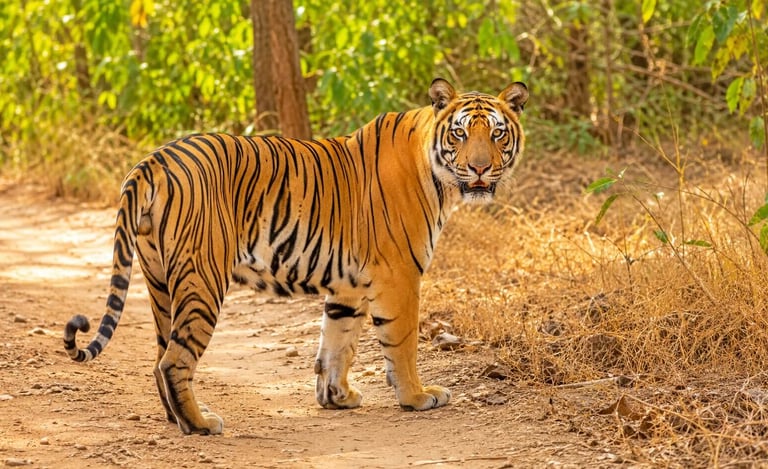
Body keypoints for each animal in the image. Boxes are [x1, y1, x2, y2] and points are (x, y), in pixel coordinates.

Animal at [63, 78, 528, 435]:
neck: (439, 179)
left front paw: (337, 397)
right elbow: (401, 343)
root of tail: (154, 160)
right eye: (461, 134)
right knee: (174, 360)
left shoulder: (349, 286)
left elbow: (337, 343)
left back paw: (177, 418)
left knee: (159, 356)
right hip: (203, 279)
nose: (481, 169)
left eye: (497, 134)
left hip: (160, 280)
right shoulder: (399, 275)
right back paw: (200, 424)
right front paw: (416, 396)